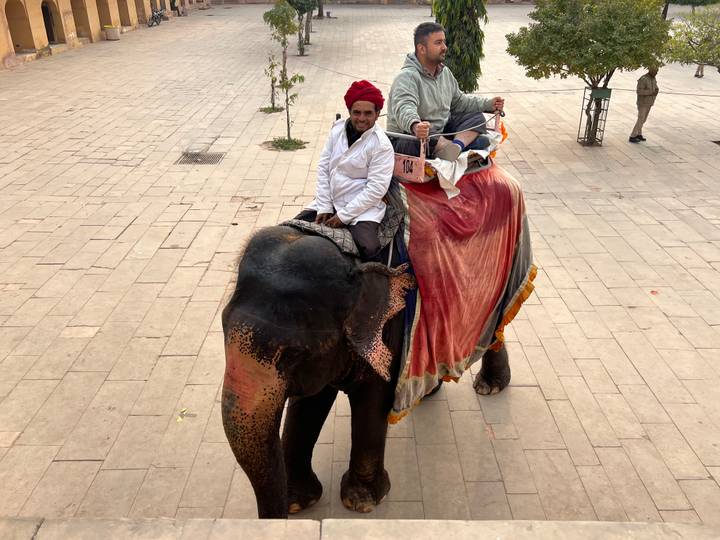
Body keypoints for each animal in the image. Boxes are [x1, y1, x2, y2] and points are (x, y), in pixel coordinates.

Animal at [221, 224, 512, 518]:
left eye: (293, 354)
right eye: (223, 328)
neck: (353, 261)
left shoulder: (390, 327)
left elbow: (372, 402)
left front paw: (362, 501)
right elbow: (308, 406)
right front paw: (298, 502)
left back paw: (489, 386)